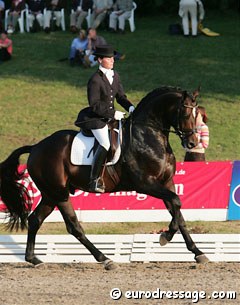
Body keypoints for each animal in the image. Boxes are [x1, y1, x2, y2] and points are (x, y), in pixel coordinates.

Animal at [0, 85, 208, 268]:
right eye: (186, 114)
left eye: (197, 115)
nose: (192, 143)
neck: (148, 135)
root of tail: (36, 147)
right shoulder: (145, 183)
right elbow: (176, 203)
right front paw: (166, 237)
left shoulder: (167, 182)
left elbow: (178, 210)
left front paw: (198, 252)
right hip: (58, 193)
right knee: (72, 226)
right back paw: (105, 259)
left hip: (52, 195)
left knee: (37, 220)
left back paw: (34, 259)